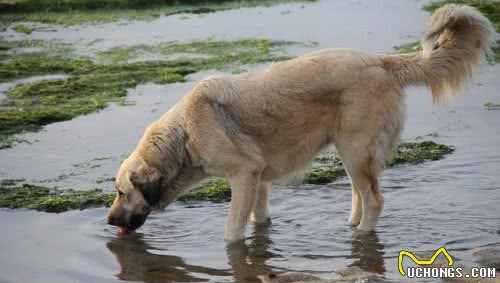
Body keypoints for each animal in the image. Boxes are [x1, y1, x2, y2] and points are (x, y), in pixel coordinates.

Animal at [107, 5, 494, 241]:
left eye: (122, 192)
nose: (108, 222)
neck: (185, 133)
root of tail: (381, 62)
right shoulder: (258, 179)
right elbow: (259, 219)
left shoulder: (244, 175)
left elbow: (232, 232)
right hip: (352, 153)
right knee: (360, 194)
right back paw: (350, 227)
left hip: (355, 150)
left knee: (375, 200)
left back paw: (362, 235)